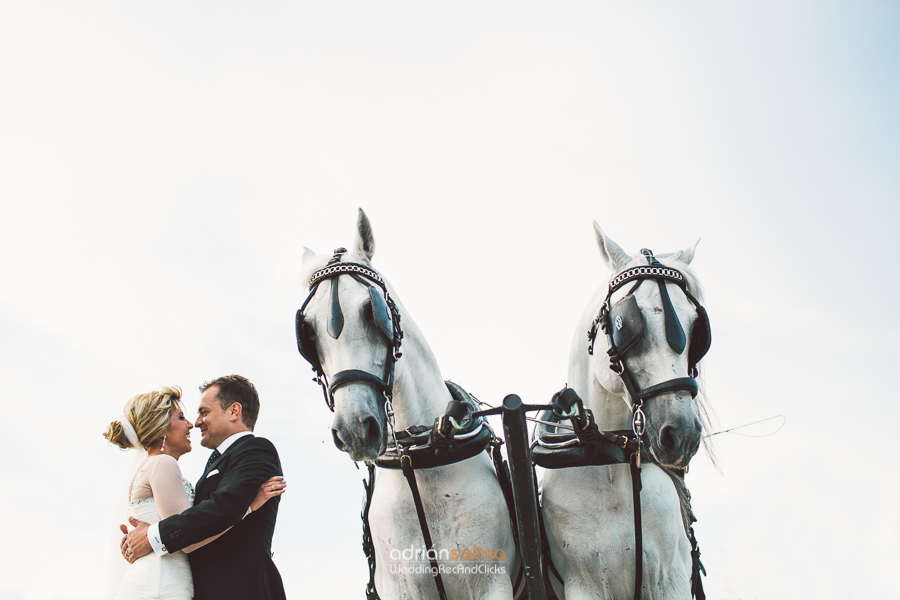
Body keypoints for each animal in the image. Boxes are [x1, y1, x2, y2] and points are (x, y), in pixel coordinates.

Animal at [540, 224, 712, 600]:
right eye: (624, 323)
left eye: (698, 328)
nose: (682, 434)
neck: (611, 463)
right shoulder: (584, 585)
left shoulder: (670, 581)